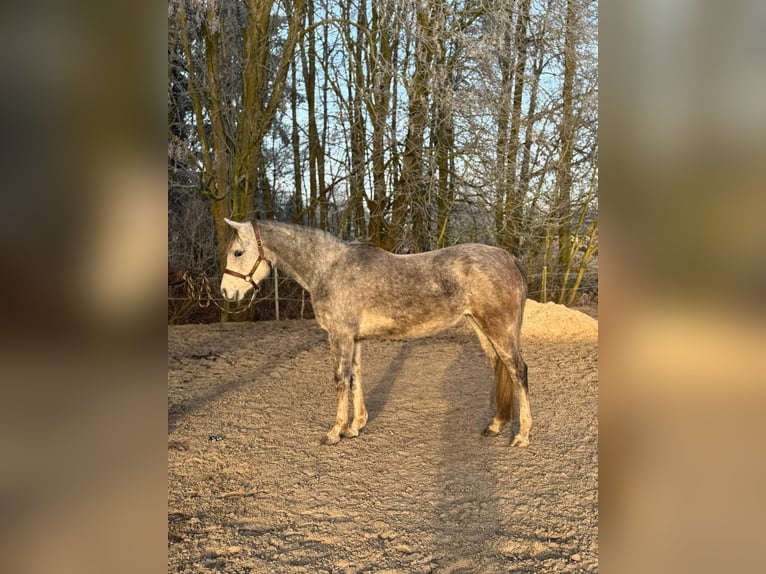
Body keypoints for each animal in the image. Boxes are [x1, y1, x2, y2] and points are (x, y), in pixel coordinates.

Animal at [220, 220, 536, 450]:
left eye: (238, 252)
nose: (226, 292)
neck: (328, 268)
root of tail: (509, 258)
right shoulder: (354, 339)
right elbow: (356, 377)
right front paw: (355, 426)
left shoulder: (339, 335)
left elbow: (340, 380)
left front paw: (335, 431)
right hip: (482, 329)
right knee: (500, 369)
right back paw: (495, 425)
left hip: (499, 329)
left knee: (518, 371)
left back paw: (521, 436)